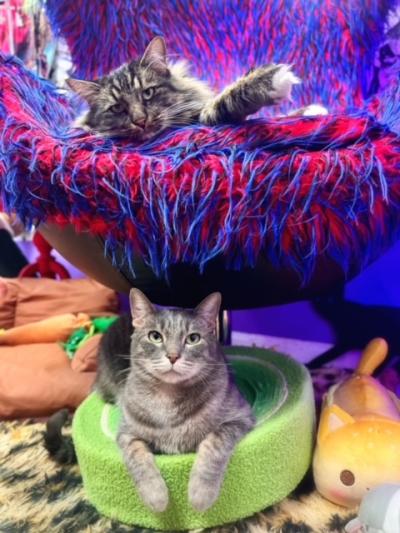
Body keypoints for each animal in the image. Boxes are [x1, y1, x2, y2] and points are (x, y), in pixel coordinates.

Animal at [44, 288, 256, 512]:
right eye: (155, 336)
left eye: (193, 338)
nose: (173, 356)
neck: (168, 398)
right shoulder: (127, 433)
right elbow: (137, 457)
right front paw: (156, 497)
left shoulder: (239, 417)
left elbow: (214, 442)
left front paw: (201, 494)